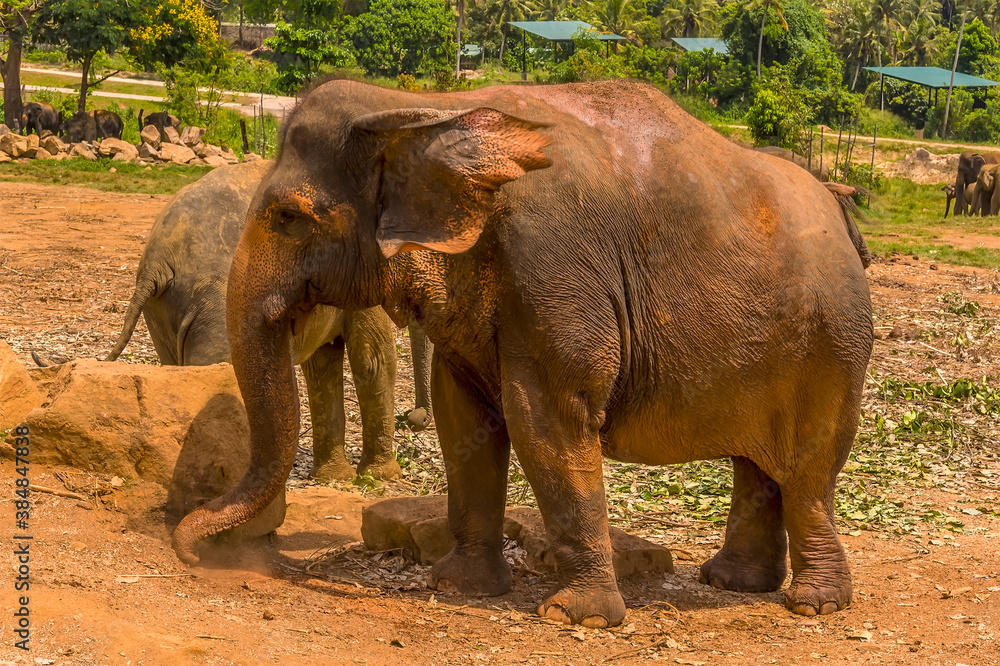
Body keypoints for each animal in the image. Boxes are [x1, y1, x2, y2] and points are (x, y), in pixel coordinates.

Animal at [106, 160, 432, 483]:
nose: (414, 419)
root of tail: (158, 261)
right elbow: (374, 360)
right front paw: (381, 478)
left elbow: (322, 367)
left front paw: (334, 479)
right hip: (221, 304)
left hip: (162, 312)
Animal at [171, 80, 874, 625]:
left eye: (289, 216)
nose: (191, 554)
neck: (430, 109)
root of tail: (840, 213)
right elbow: (464, 420)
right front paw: (457, 586)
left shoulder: (553, 270)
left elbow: (548, 418)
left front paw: (574, 616)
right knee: (758, 467)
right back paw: (730, 582)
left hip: (834, 347)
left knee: (808, 472)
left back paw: (814, 604)